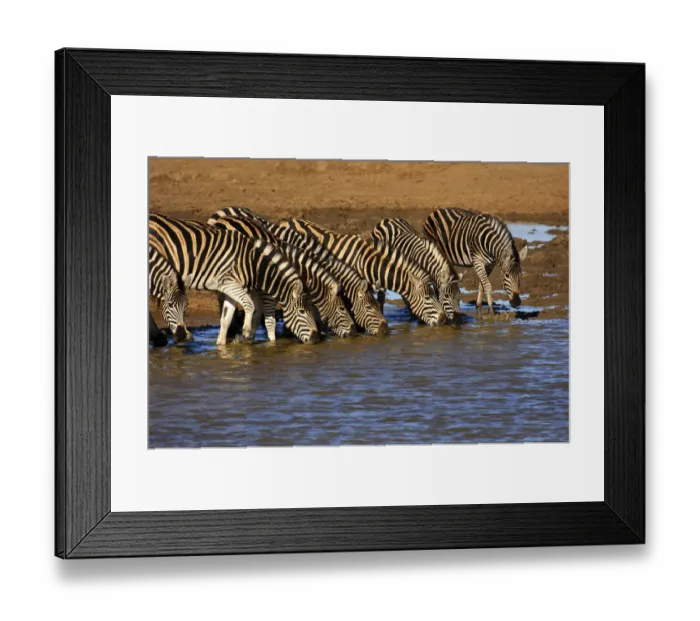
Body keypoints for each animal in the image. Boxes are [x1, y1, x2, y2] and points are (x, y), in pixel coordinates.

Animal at [149, 212, 320, 345]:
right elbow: (250, 305)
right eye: (303, 311)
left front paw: (221, 345)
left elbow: (226, 317)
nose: (316, 338)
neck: (252, 263)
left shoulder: (230, 288)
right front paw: (246, 332)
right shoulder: (230, 284)